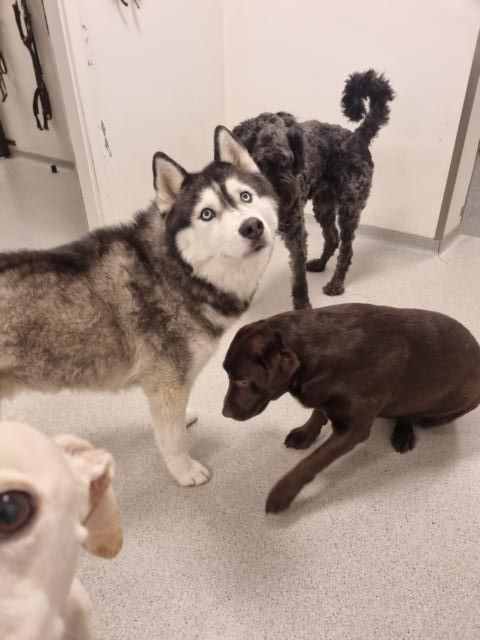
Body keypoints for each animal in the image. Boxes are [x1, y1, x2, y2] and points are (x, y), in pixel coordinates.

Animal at [0, 126, 278, 487]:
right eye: (206, 214)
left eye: (245, 196)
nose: (252, 227)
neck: (177, 268)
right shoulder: (167, 384)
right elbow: (172, 440)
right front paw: (184, 471)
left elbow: (172, 421)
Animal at [222, 304, 480, 512]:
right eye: (226, 372)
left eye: (242, 380)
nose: (225, 413)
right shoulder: (323, 395)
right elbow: (318, 413)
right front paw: (306, 433)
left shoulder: (353, 430)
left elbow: (311, 462)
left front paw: (282, 493)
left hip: (444, 409)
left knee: (414, 414)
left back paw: (403, 433)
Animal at [233, 70, 395, 308]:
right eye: (259, 161)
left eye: (287, 160)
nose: (283, 192)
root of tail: (358, 135)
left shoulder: (296, 232)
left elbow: (298, 276)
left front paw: (302, 306)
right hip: (324, 206)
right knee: (332, 238)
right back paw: (320, 263)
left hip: (349, 207)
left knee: (346, 249)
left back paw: (336, 283)